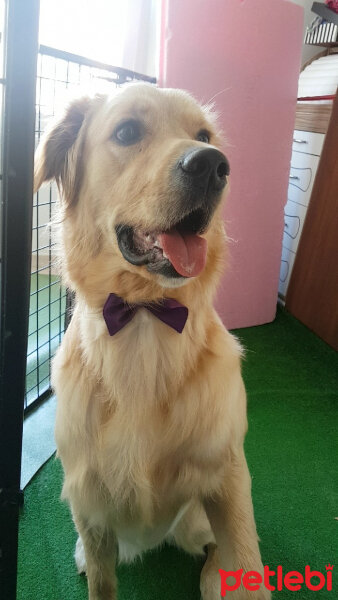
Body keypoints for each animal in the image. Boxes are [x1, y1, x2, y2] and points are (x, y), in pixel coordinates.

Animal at [34, 81, 270, 600]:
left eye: (204, 136)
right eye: (127, 132)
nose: (213, 165)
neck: (145, 316)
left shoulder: (227, 475)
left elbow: (246, 555)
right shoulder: (90, 501)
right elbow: (102, 582)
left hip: (198, 519)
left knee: (214, 545)